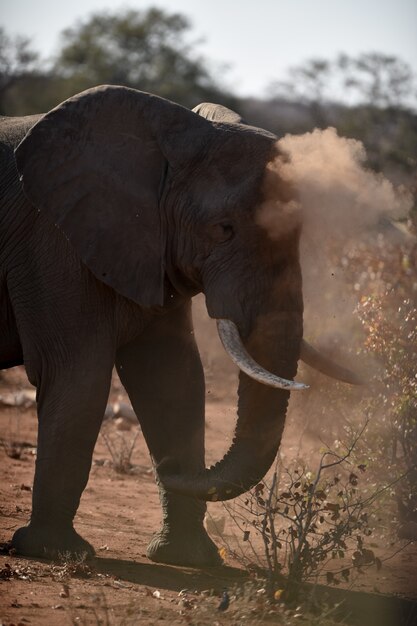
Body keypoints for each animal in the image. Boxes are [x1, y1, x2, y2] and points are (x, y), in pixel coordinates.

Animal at [0, 85, 358, 568]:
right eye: (223, 229)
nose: (168, 470)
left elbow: (173, 379)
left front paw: (188, 559)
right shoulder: (53, 242)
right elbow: (78, 375)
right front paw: (54, 551)